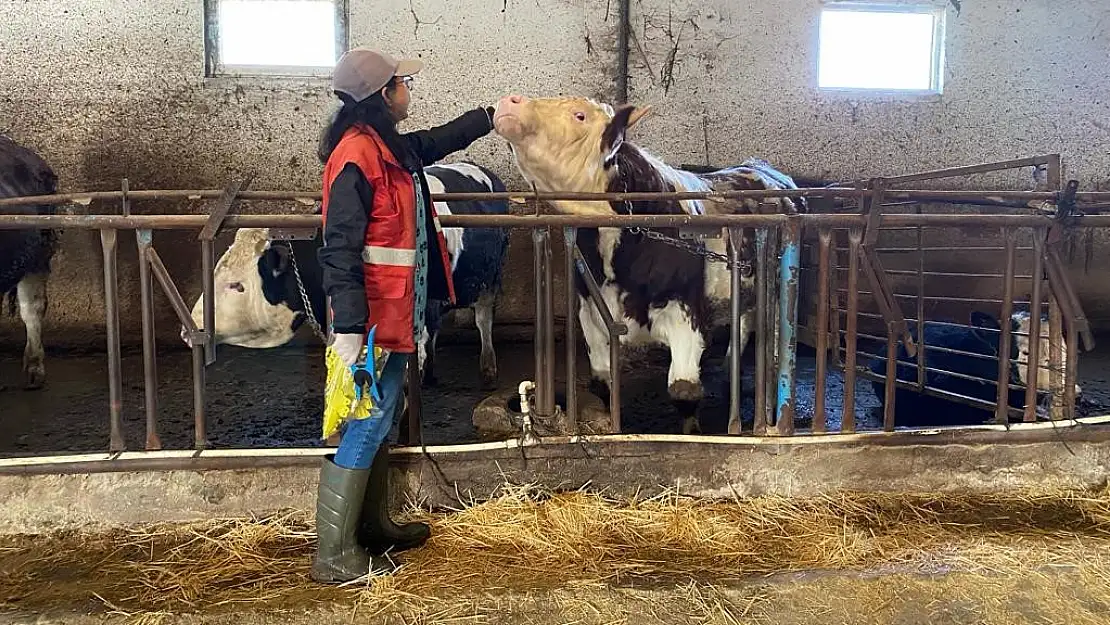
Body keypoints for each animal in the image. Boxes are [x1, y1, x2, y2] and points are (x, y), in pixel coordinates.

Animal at [490, 94, 803, 435]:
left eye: (579, 115)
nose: (510, 100)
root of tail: (761, 166)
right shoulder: (588, 311)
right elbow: (602, 380)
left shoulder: (685, 311)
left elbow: (683, 389)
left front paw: (692, 432)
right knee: (744, 321)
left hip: (779, 285)